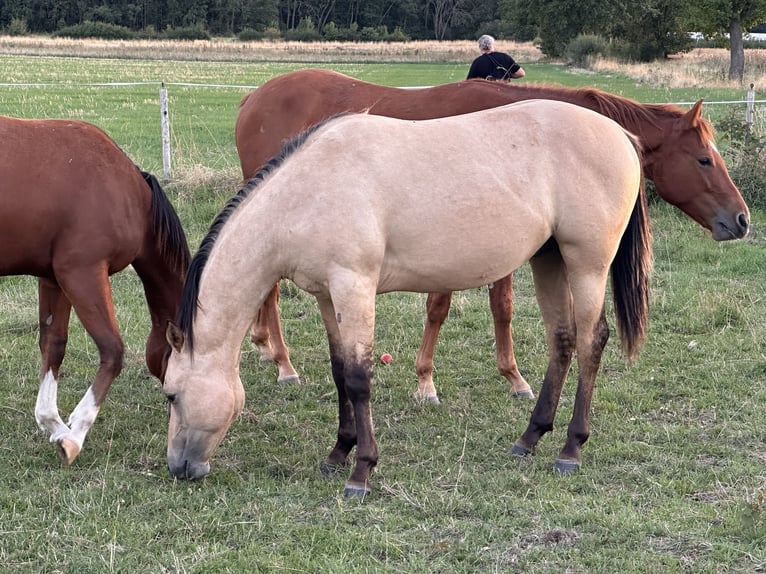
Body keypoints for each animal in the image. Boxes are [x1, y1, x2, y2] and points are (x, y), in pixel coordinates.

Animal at [0, 116, 190, 465]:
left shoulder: (53, 278)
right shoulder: (82, 273)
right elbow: (112, 351)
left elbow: (53, 345)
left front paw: (52, 423)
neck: (130, 195)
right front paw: (74, 435)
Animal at [163, 100, 652, 496]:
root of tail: (621, 135)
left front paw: (361, 472)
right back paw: (530, 438)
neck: (306, 193)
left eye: (170, 394)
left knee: (591, 341)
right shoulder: (327, 295)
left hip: (587, 264)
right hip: (548, 259)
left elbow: (359, 378)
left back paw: (570, 449)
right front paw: (338, 453)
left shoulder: (355, 286)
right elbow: (339, 371)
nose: (178, 468)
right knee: (562, 341)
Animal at [234, 68, 749, 404]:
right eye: (704, 158)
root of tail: (253, 98)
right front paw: (426, 382)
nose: (741, 219)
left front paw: (514, 378)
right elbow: (440, 307)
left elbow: (502, 307)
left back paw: (265, 346)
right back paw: (283, 363)